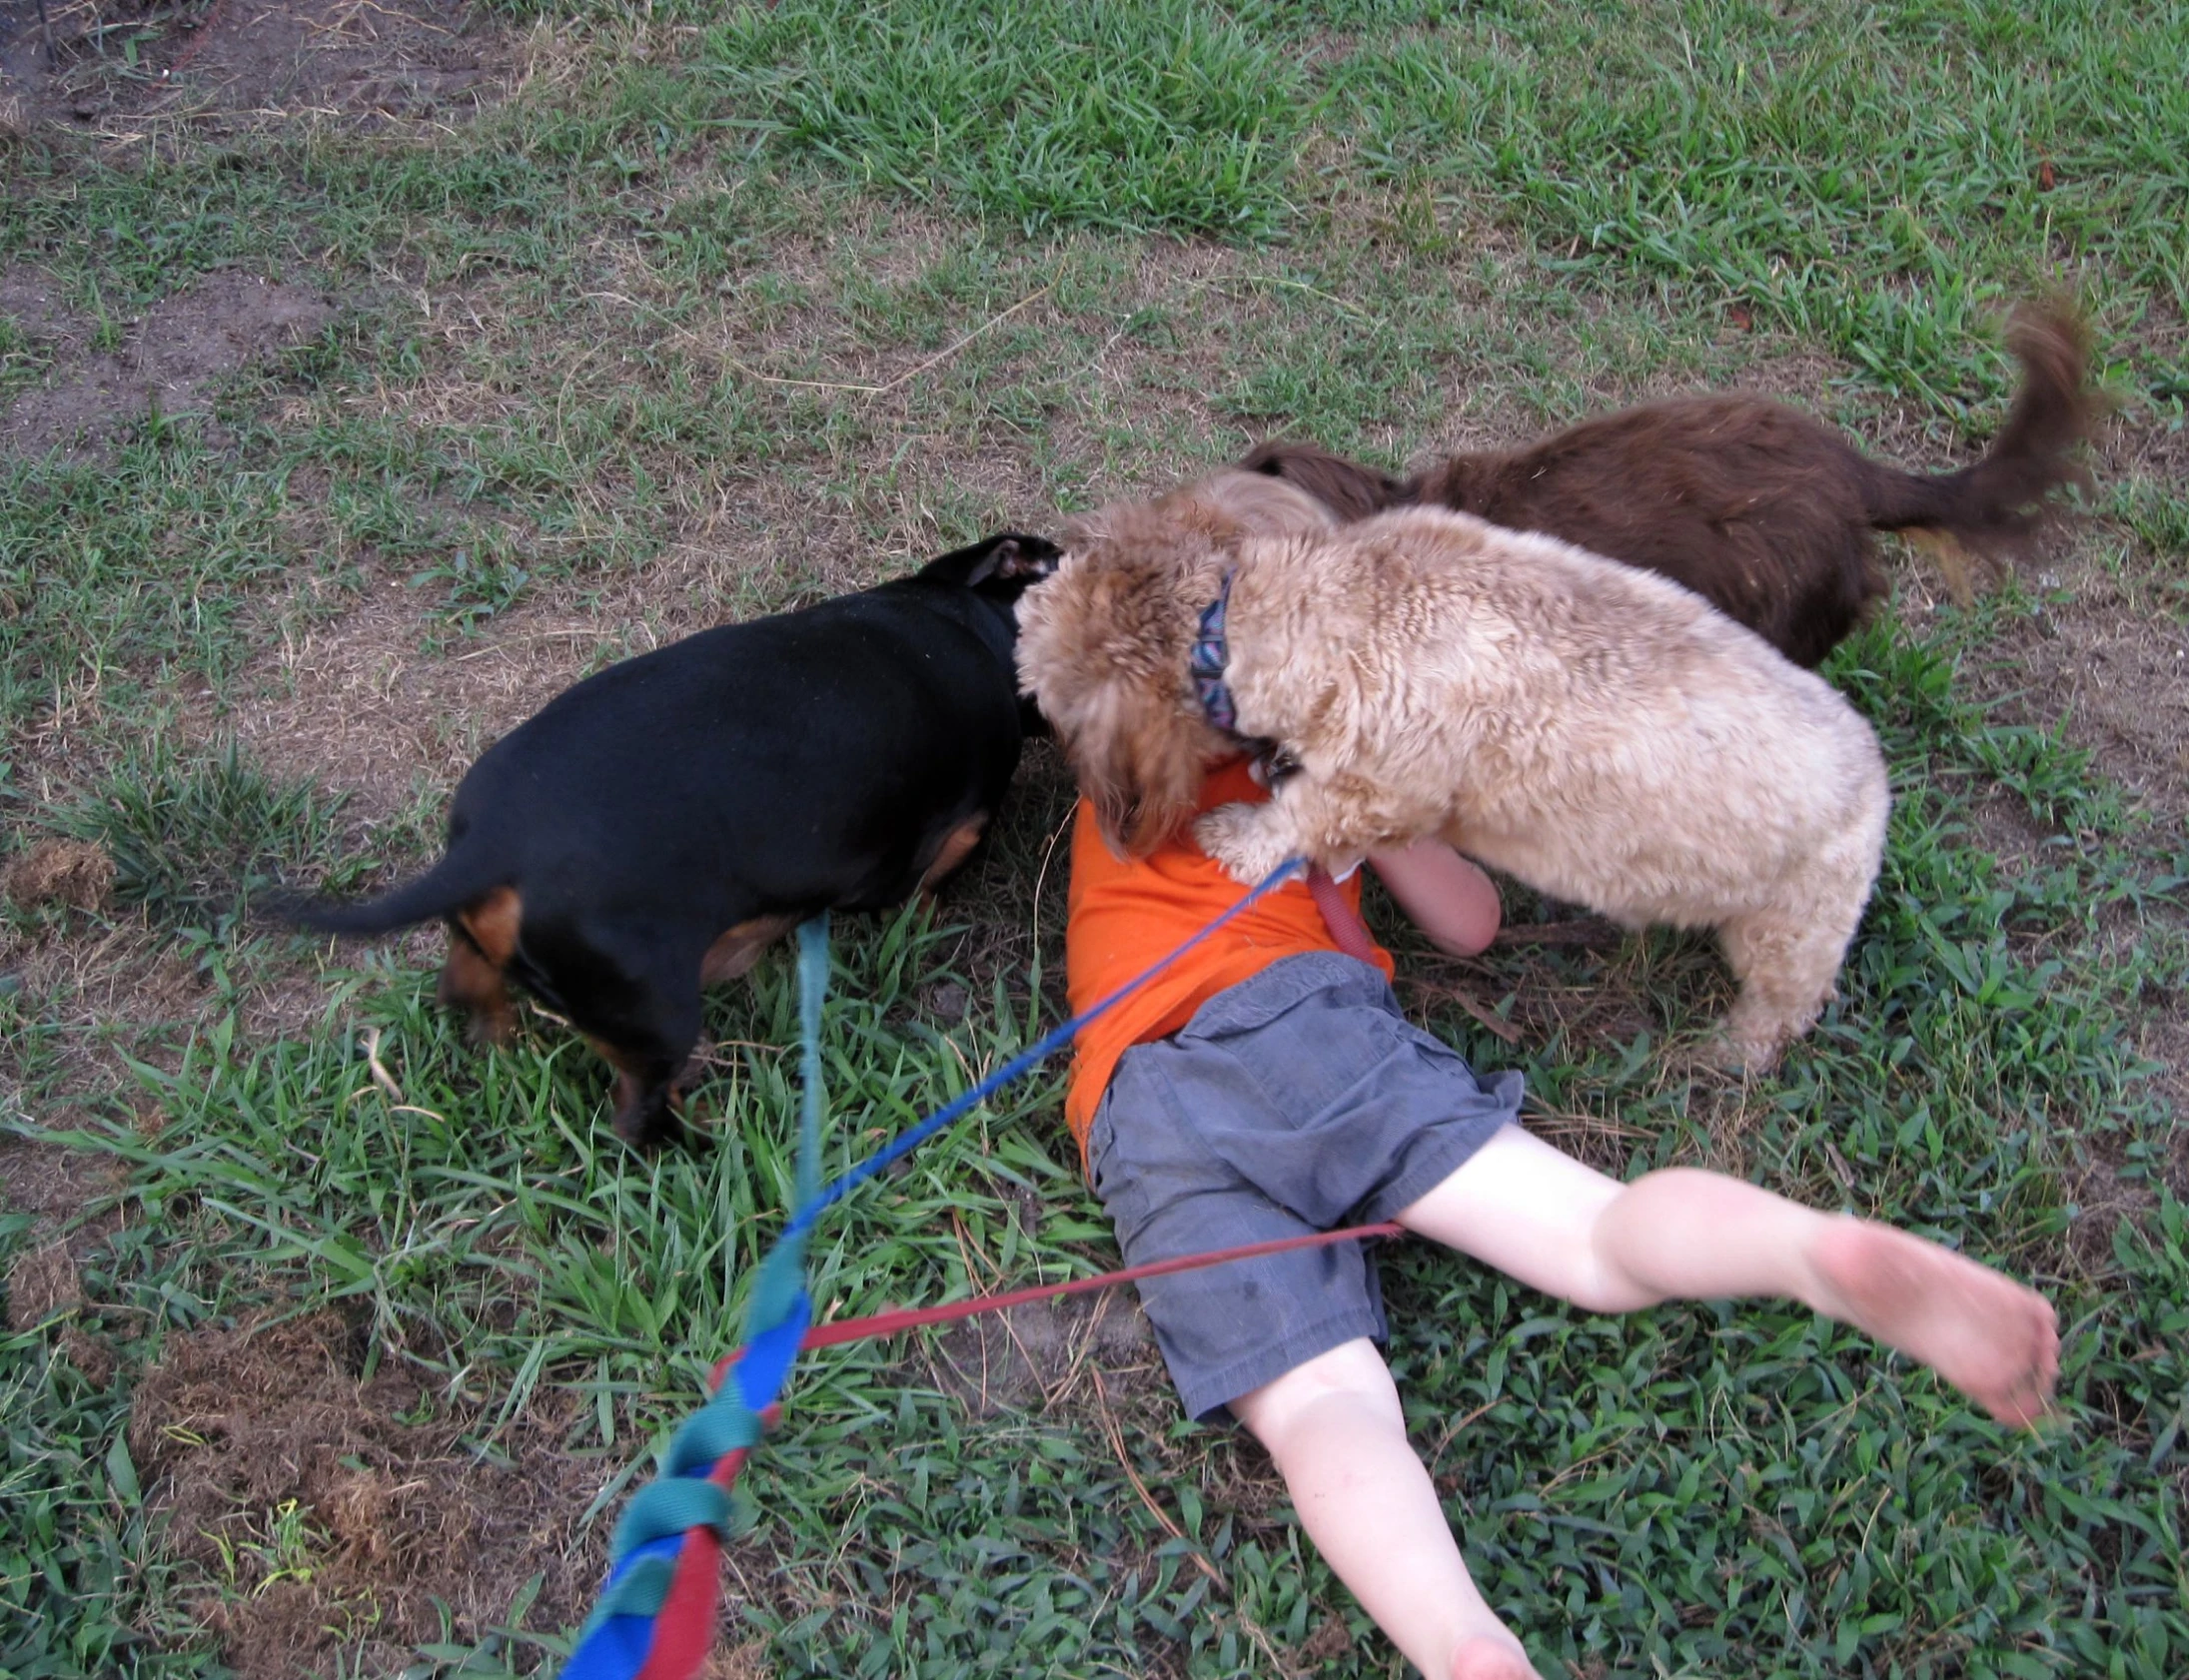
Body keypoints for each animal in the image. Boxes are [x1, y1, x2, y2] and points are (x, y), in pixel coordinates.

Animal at [278, 531, 1063, 1146]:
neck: (965, 623)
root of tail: (489, 848)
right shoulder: (956, 828)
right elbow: (926, 888)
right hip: (658, 1019)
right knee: (636, 1115)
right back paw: (701, 1142)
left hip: (493, 959)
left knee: (470, 997)